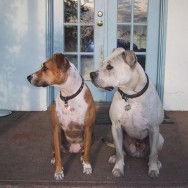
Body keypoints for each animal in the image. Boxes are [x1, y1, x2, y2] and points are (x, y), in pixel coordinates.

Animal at [26, 53, 95, 181]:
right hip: (52, 137)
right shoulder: (56, 129)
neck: (69, 95)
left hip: (92, 135)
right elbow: (58, 154)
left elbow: (88, 150)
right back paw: (53, 158)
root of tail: (73, 149)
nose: (28, 77)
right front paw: (58, 171)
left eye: (45, 68)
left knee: (84, 149)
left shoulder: (88, 129)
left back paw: (82, 156)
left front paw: (87, 165)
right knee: (55, 151)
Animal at [90, 48, 164, 178]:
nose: (91, 74)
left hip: (160, 139)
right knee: (120, 150)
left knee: (153, 153)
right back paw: (114, 156)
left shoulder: (154, 128)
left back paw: (157, 162)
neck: (130, 95)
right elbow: (119, 152)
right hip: (115, 134)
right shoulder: (116, 127)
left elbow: (154, 153)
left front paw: (153, 168)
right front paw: (118, 168)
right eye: (102, 64)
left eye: (109, 67)